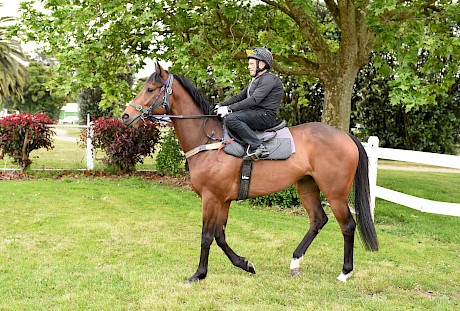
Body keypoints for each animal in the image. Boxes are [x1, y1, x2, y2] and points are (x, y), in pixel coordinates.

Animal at [121, 62, 378, 284]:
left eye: (150, 89)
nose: (125, 116)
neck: (209, 140)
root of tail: (346, 136)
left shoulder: (211, 198)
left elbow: (206, 236)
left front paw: (199, 274)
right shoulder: (223, 200)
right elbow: (220, 236)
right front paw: (245, 264)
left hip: (335, 193)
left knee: (347, 226)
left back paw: (344, 272)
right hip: (306, 185)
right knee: (318, 220)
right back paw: (295, 261)